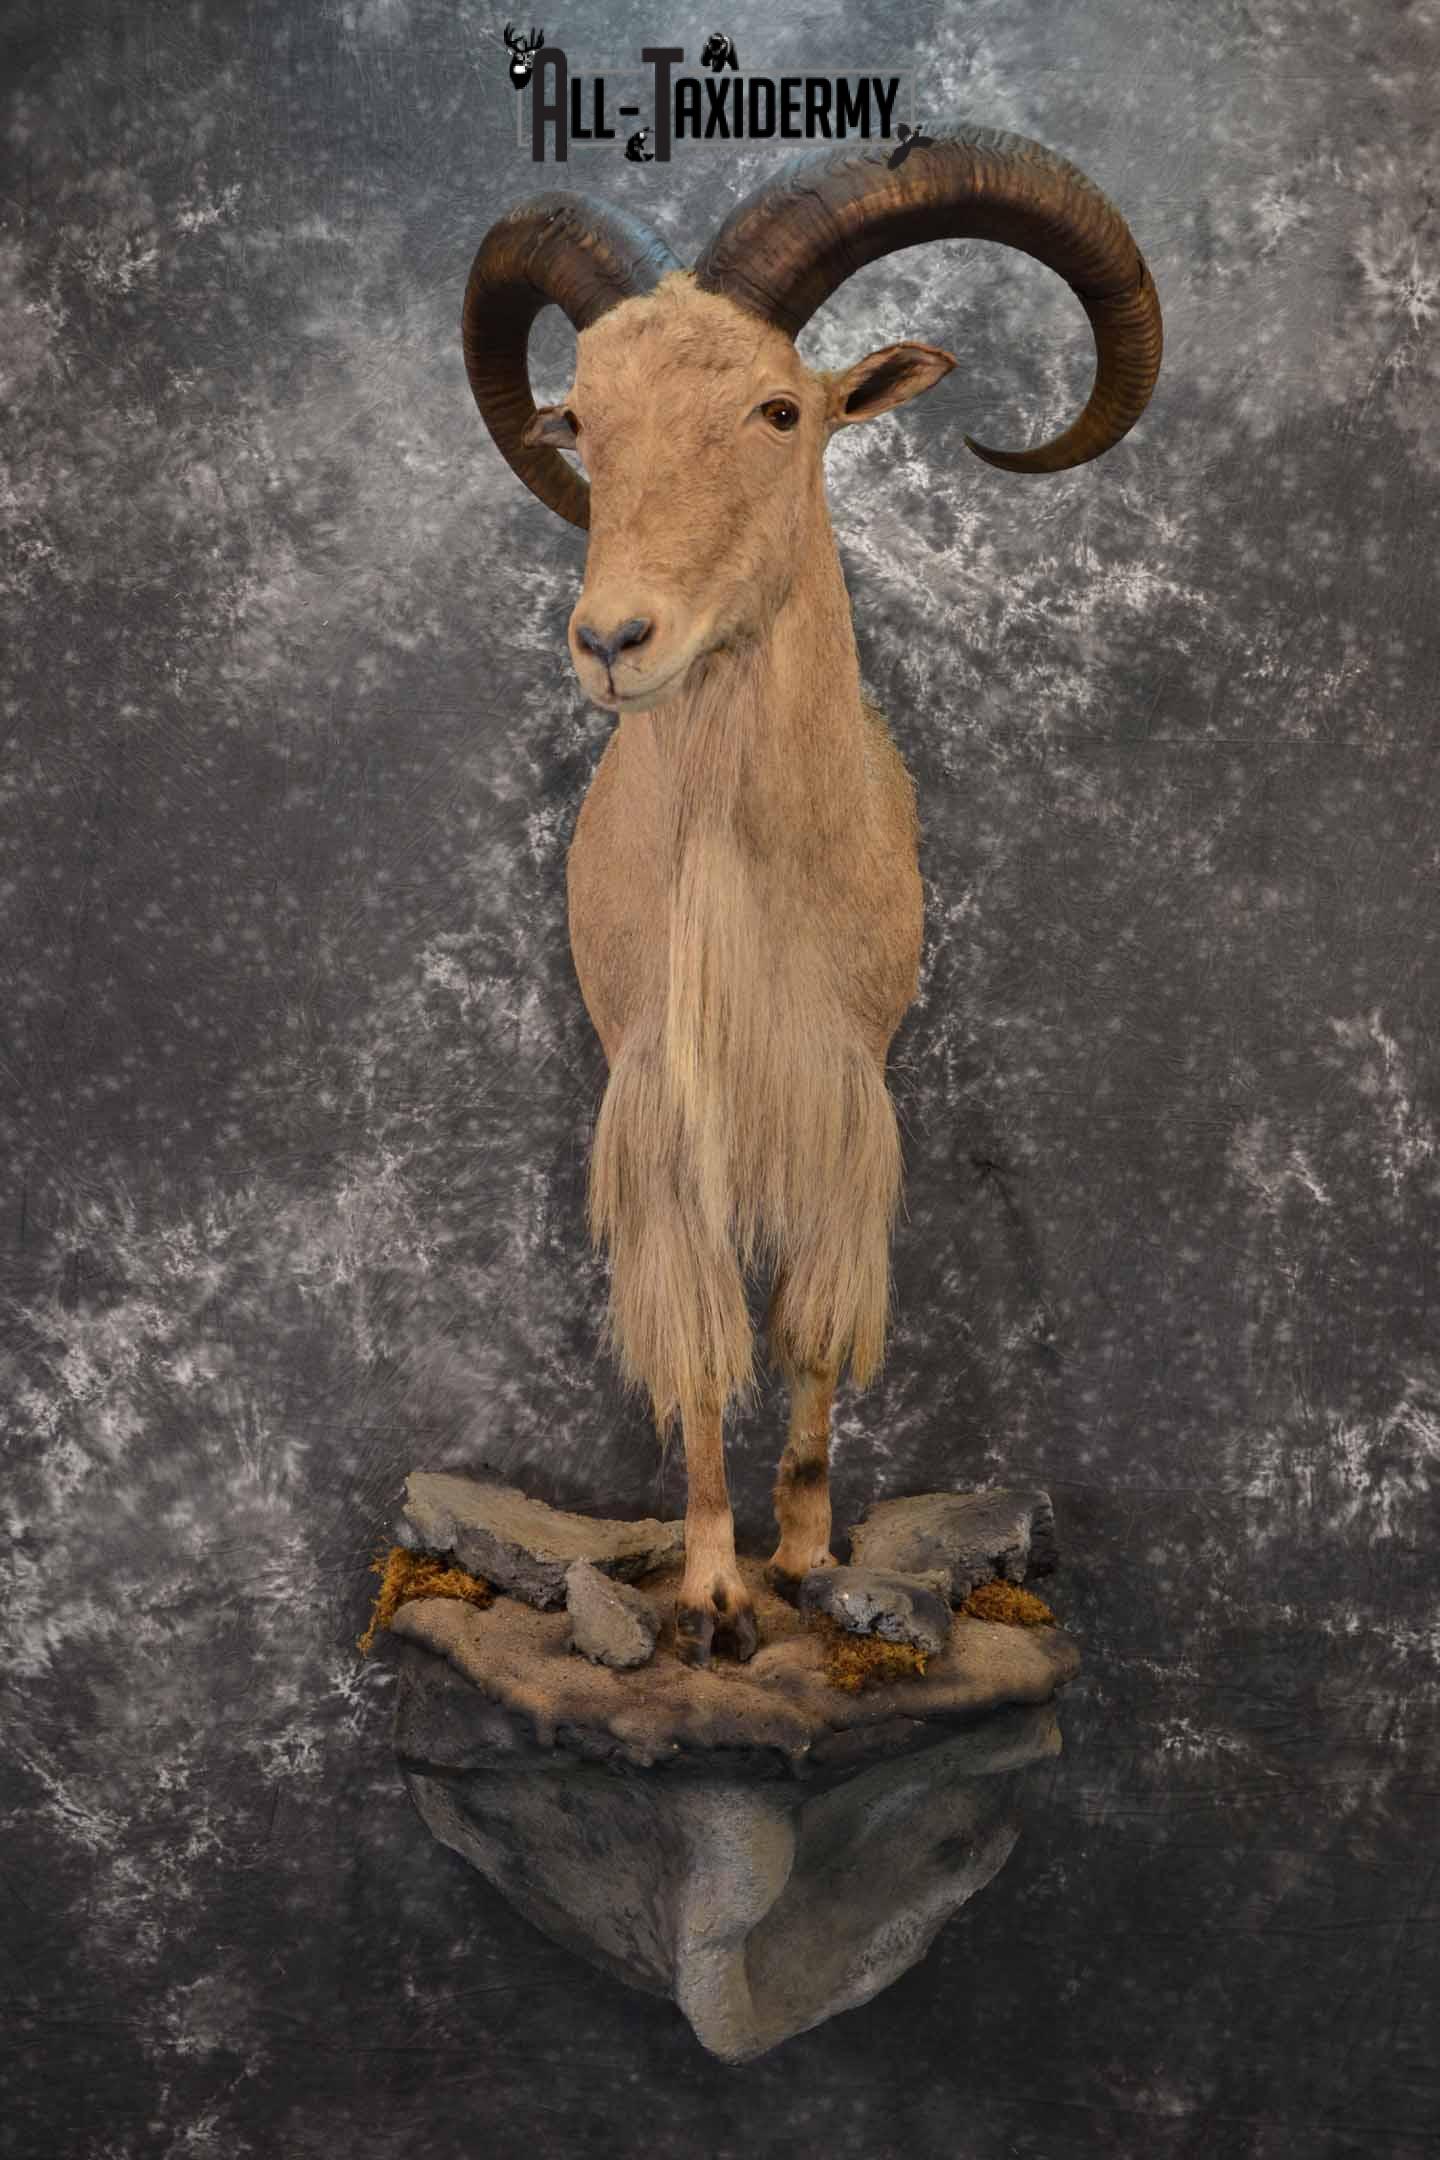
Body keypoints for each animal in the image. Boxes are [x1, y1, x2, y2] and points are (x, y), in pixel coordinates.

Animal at [460, 124, 1162, 1665]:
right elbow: (703, 1345)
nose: (614, 640)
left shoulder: (845, 1097)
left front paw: (800, 1555)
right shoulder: (667, 1113)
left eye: (780, 409)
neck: (747, 871)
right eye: (582, 420)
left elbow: (811, 1335)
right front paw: (717, 1596)